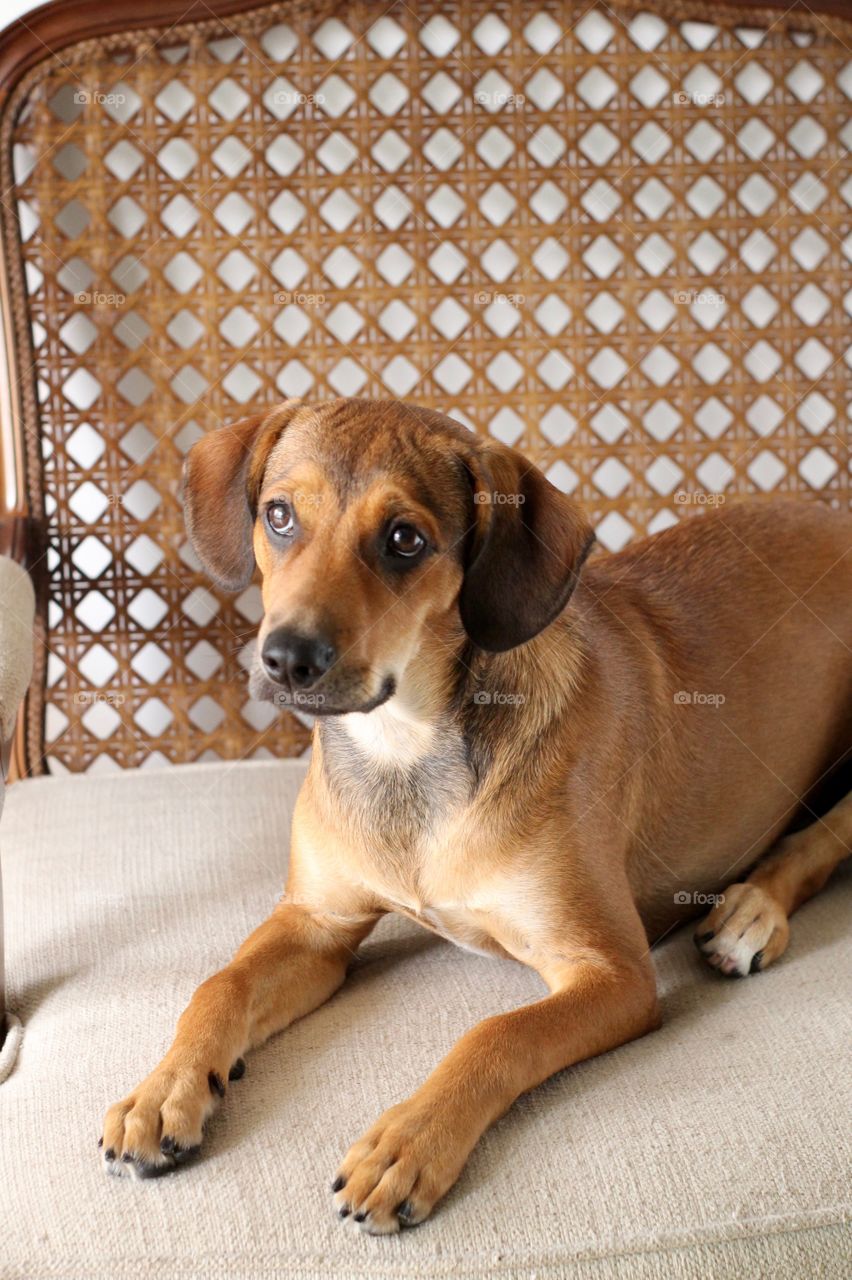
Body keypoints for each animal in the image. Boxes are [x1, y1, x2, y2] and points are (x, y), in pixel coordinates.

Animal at [101, 399, 849, 1228]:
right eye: (279, 515)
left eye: (405, 539)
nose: (287, 659)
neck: (407, 752)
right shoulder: (316, 923)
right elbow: (219, 986)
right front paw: (163, 1092)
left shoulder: (612, 970)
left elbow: (496, 1035)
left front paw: (408, 1142)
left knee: (823, 838)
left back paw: (752, 911)